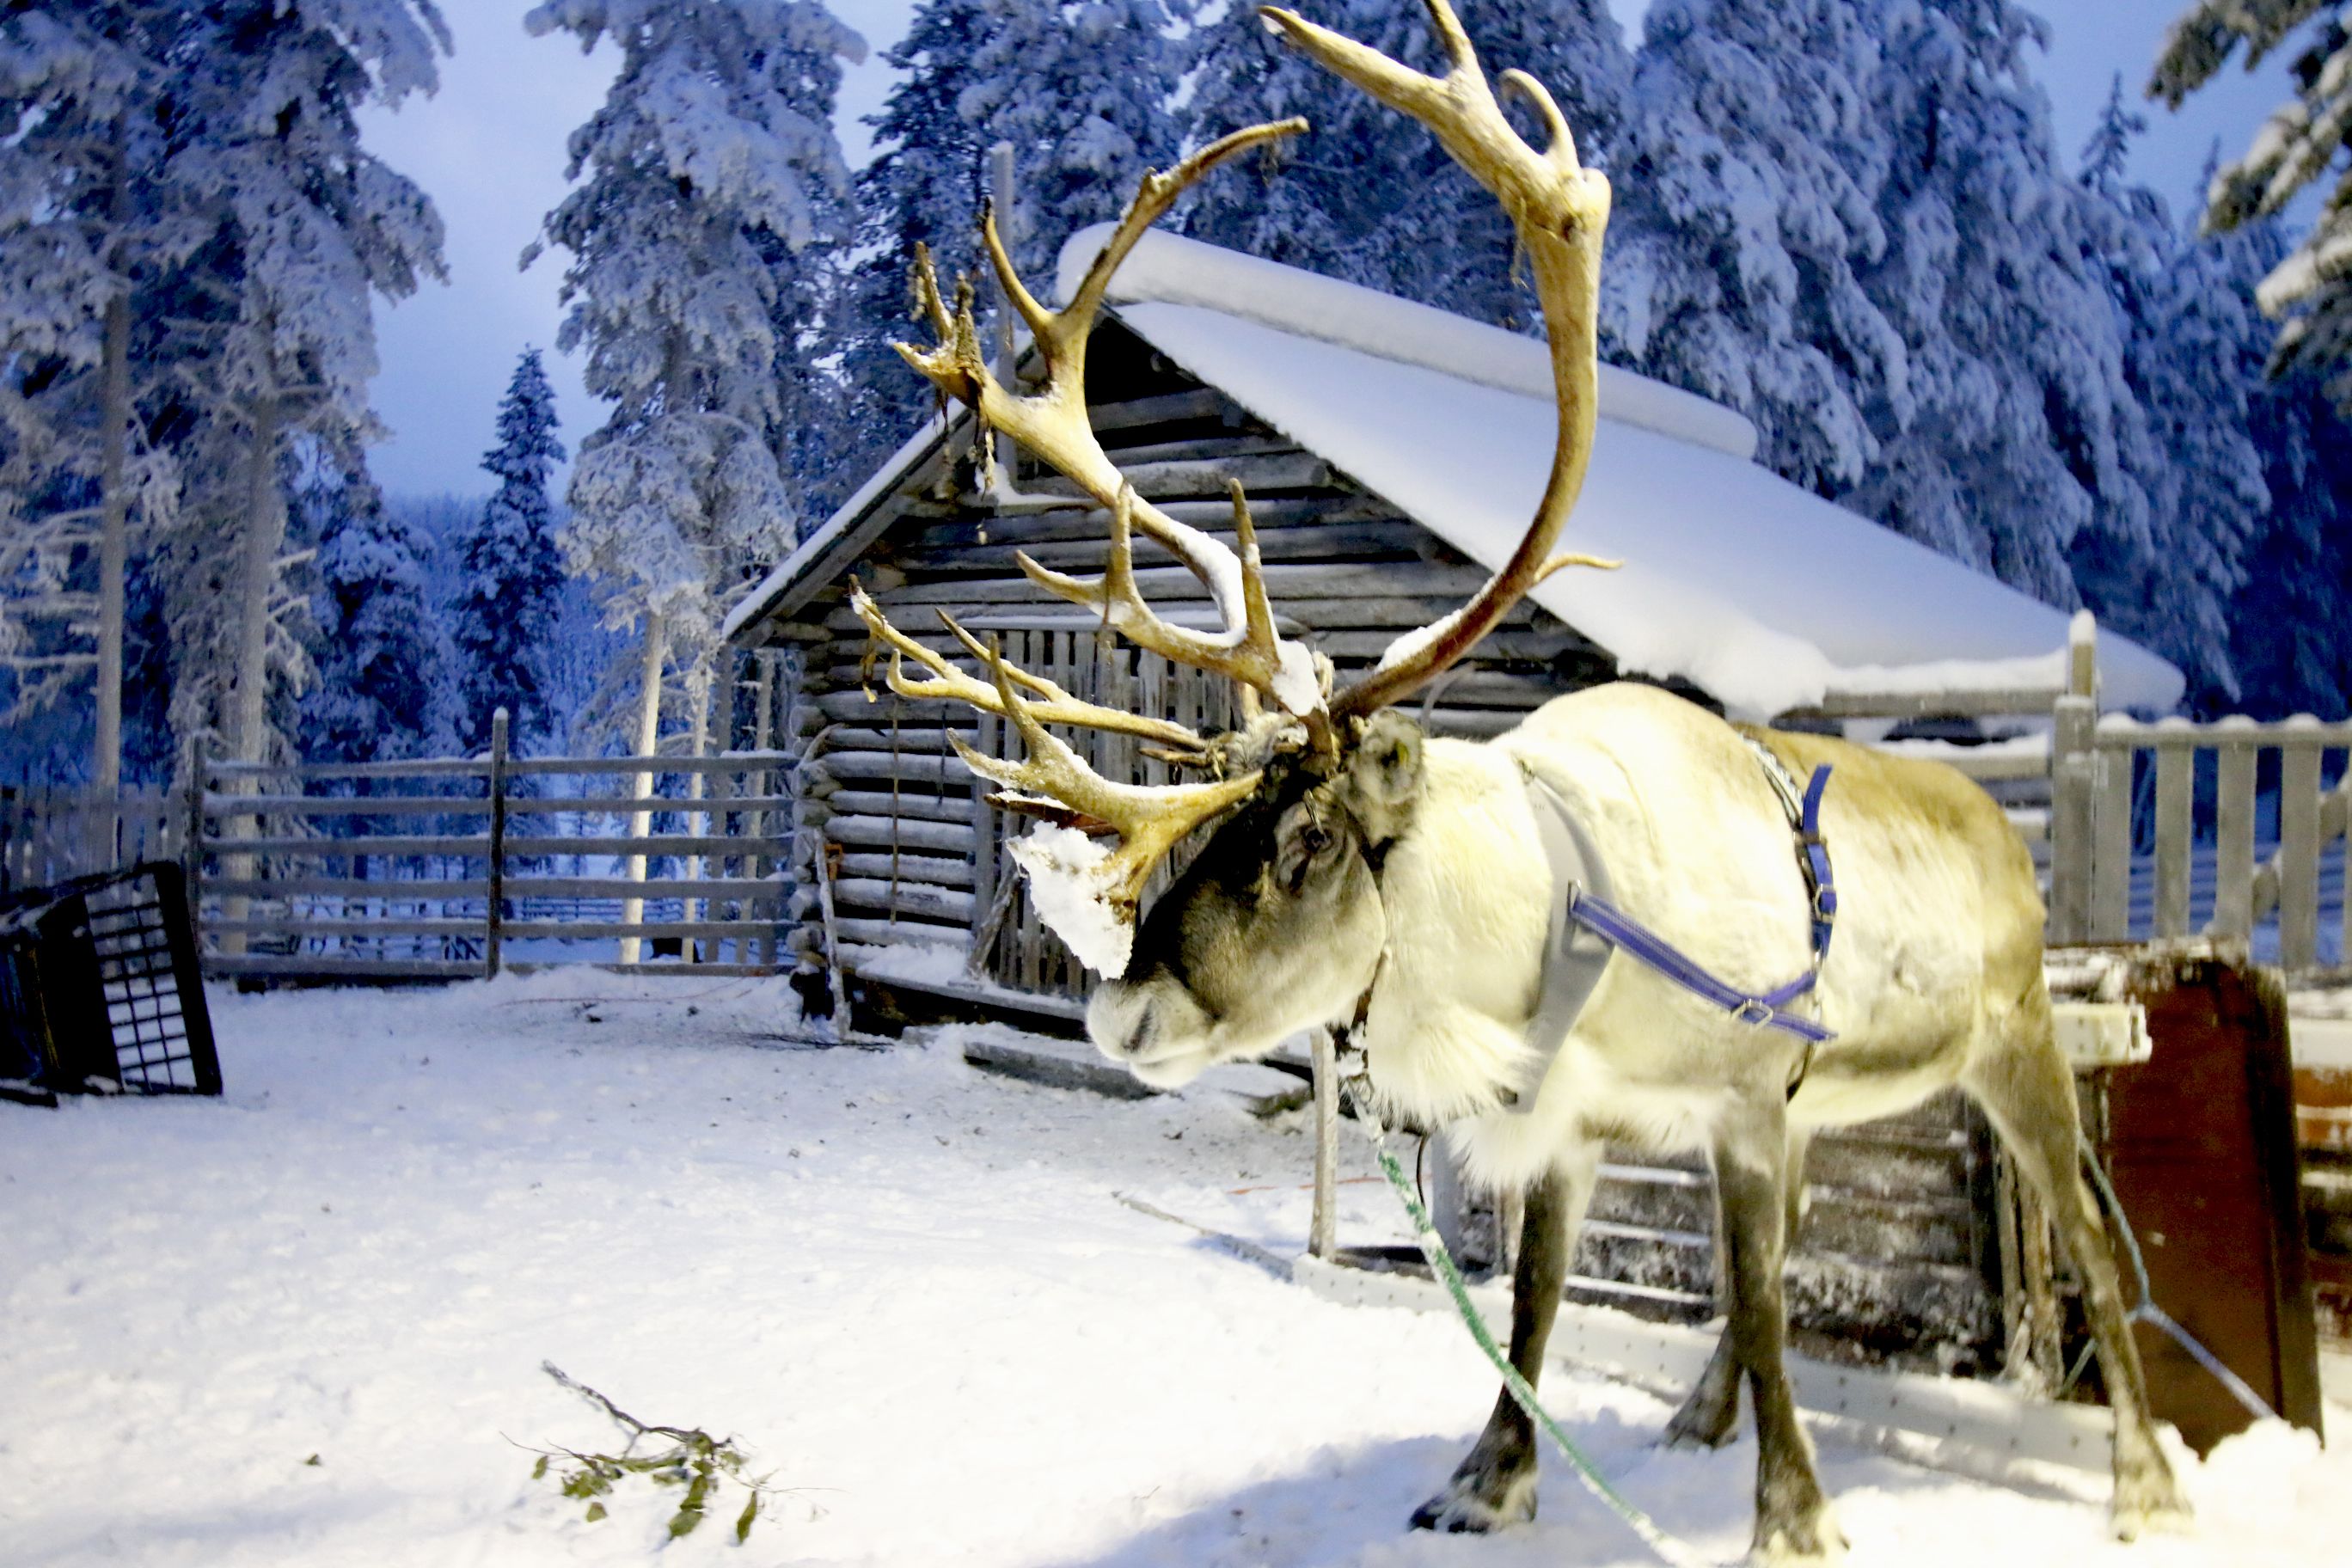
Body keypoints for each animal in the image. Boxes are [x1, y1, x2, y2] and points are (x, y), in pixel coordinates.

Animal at [845, 2, 2192, 1561]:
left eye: (1310, 839)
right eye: (1217, 821)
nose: (1121, 1009)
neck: (1557, 920)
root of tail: (1996, 820)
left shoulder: (1741, 1096)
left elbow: (1750, 1294)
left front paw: (1794, 1516)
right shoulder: (1589, 1121)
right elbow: (1549, 1297)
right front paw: (1489, 1478)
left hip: (2017, 1041)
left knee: (2082, 1239)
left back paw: (2143, 1478)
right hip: (1833, 1096)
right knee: (1799, 1249)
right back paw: (1699, 1416)